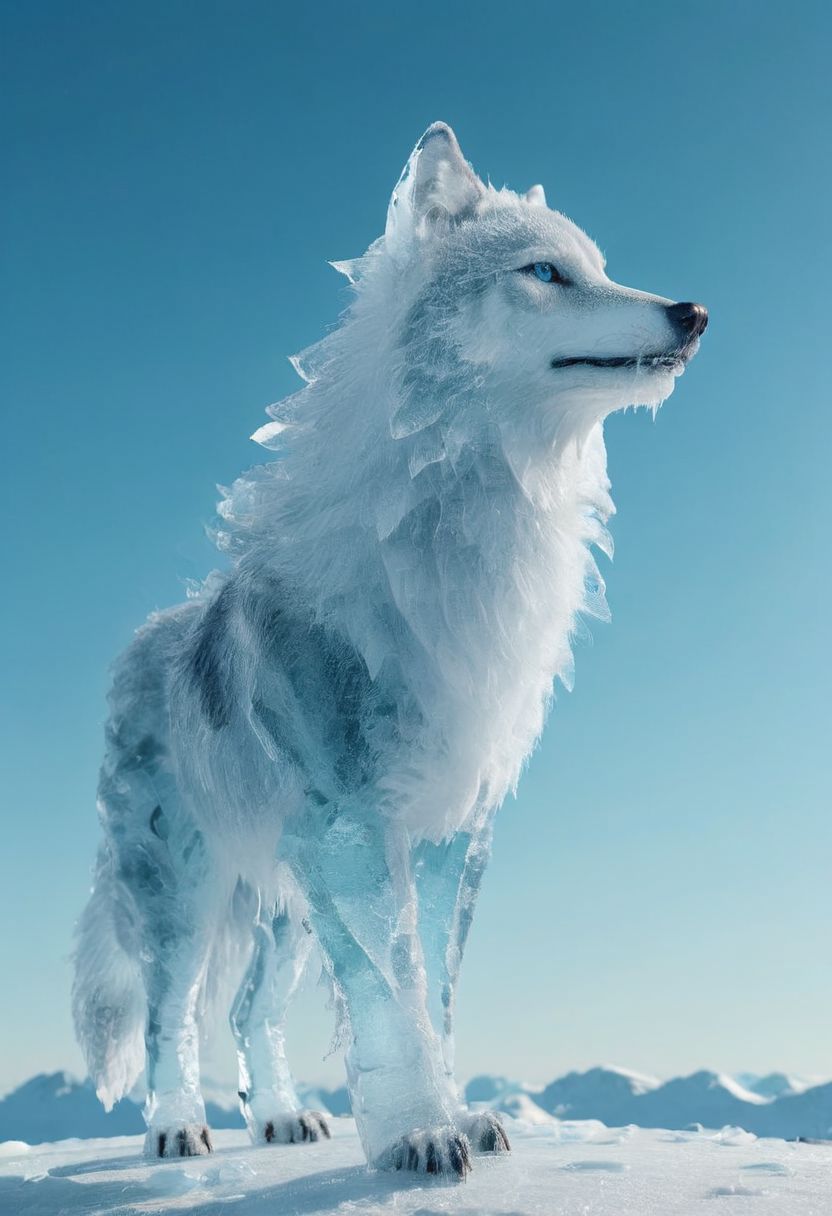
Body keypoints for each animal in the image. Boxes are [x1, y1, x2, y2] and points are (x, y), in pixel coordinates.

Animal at [73, 123, 706, 1177]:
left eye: (599, 267)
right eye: (548, 272)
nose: (692, 312)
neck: (462, 533)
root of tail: (151, 633)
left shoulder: (454, 825)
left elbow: (434, 995)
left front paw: (457, 1120)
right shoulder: (351, 824)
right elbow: (390, 992)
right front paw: (417, 1135)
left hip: (284, 906)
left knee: (247, 1014)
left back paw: (284, 1119)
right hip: (187, 895)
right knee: (172, 1018)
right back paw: (175, 1130)